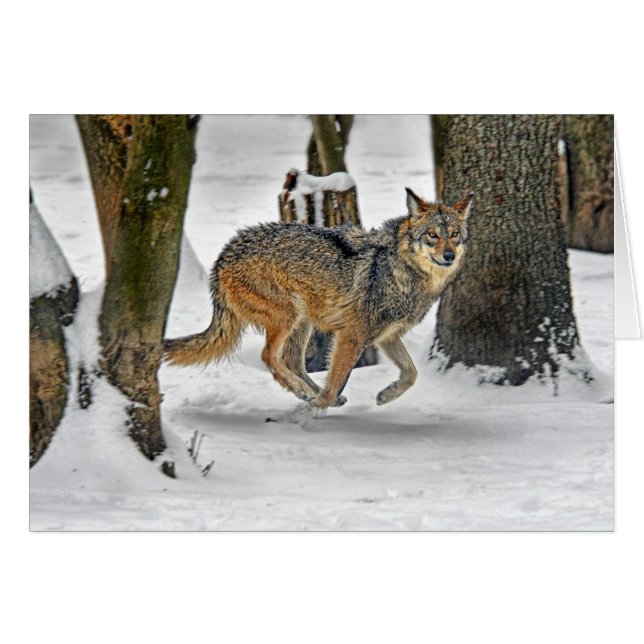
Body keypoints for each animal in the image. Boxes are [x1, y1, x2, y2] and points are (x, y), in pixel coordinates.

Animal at [163, 188, 473, 410]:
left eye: (454, 235)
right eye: (432, 235)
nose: (449, 256)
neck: (402, 271)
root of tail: (223, 254)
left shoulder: (387, 336)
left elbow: (411, 374)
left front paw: (386, 395)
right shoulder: (352, 335)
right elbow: (337, 379)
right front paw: (318, 410)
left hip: (302, 323)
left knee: (292, 362)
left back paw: (310, 394)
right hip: (289, 317)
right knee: (270, 357)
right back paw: (306, 394)